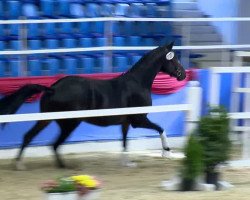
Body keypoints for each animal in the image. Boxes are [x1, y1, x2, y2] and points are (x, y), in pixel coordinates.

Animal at [0, 41, 185, 169]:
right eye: (174, 58)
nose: (182, 75)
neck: (138, 83)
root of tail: (53, 88)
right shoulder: (138, 120)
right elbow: (160, 128)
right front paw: (167, 152)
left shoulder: (126, 122)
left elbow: (125, 141)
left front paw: (127, 163)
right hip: (69, 124)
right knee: (54, 144)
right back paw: (63, 167)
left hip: (47, 119)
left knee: (30, 136)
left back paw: (21, 164)